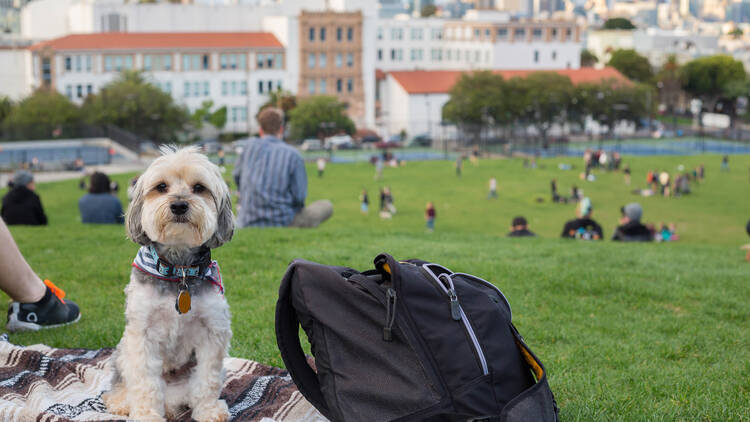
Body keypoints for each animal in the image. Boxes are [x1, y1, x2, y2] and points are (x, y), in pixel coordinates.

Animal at [104, 146, 235, 422]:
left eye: (199, 187)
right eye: (161, 186)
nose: (179, 205)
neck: (179, 270)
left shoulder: (213, 332)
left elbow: (206, 380)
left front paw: (208, 410)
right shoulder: (142, 334)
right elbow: (144, 383)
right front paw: (146, 415)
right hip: (122, 352)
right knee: (120, 385)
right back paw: (122, 403)